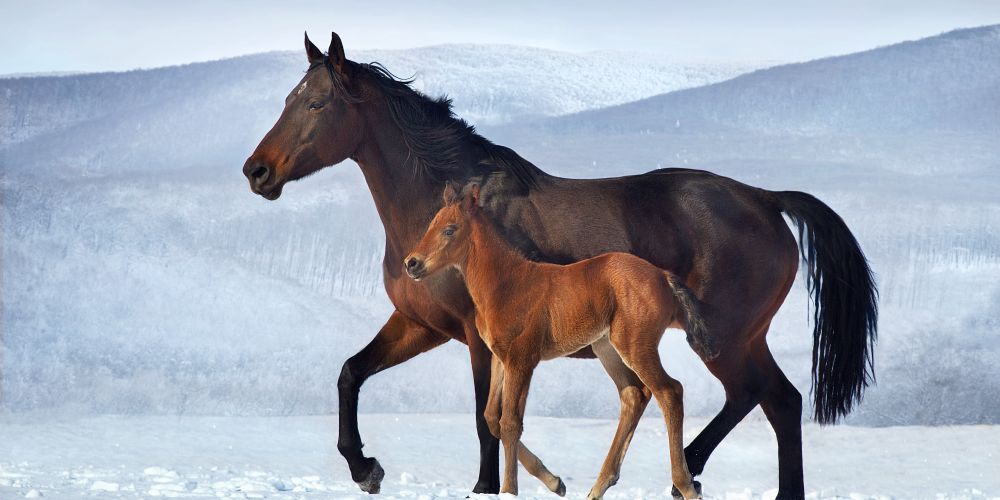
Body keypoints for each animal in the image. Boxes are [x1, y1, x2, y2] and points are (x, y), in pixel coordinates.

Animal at [404, 182, 711, 498]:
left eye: (449, 229)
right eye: (431, 224)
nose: (411, 263)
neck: (506, 284)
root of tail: (663, 276)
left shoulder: (522, 360)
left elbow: (510, 422)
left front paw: (510, 489)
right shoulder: (501, 358)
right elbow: (492, 418)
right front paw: (554, 481)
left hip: (635, 345)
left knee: (669, 391)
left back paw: (686, 486)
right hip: (607, 348)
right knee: (634, 395)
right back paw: (598, 487)